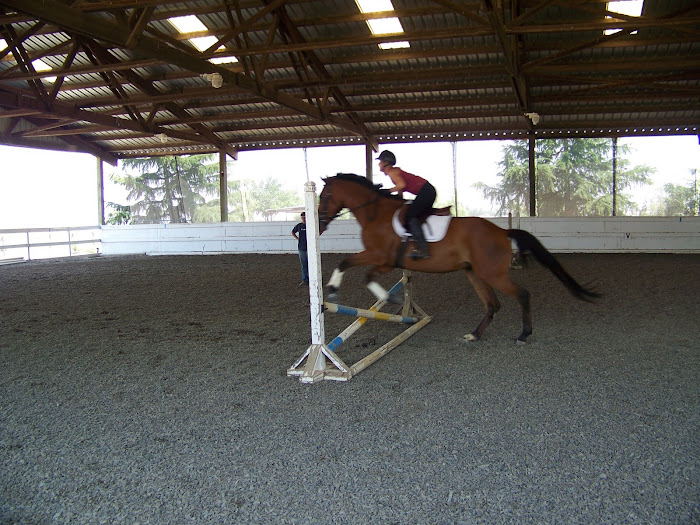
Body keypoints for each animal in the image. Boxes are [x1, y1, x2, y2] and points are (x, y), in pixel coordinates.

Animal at [320, 173, 600, 344]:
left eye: (324, 196)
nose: (320, 224)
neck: (375, 214)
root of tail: (501, 231)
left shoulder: (382, 259)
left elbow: (356, 269)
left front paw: (383, 297)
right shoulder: (383, 261)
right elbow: (351, 267)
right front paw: (335, 291)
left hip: (492, 273)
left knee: (521, 294)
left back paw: (523, 334)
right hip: (474, 272)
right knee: (493, 304)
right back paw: (474, 335)